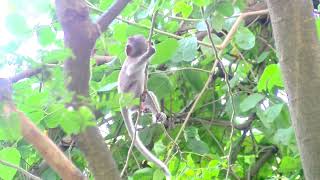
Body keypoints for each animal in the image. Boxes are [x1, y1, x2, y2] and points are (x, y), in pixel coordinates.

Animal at [118, 34, 170, 177]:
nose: (148, 41)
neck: (134, 55)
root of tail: (122, 104)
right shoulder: (131, 62)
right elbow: (132, 69)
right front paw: (150, 51)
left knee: (149, 94)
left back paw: (157, 115)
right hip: (129, 99)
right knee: (136, 83)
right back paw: (138, 105)